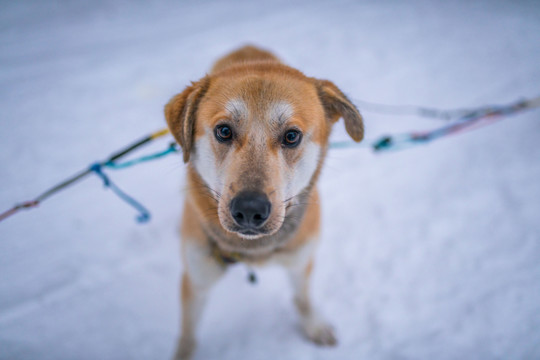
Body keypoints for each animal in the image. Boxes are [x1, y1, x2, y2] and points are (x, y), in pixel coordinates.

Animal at [165, 46, 362, 358]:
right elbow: (188, 334)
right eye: (224, 131)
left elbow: (303, 299)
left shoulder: (301, 260)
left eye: (291, 136)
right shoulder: (195, 279)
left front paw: (314, 326)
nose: (249, 210)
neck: (255, 251)